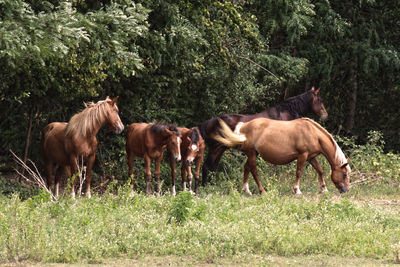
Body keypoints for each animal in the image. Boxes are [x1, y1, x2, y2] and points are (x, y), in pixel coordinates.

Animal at [200, 87, 328, 187]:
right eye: (319, 100)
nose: (325, 115)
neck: (284, 114)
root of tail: (209, 122)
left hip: (220, 149)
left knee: (212, 168)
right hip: (216, 149)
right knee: (206, 167)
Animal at [212, 118, 350, 196]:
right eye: (344, 174)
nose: (346, 190)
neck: (312, 133)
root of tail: (244, 125)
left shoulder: (311, 157)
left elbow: (320, 171)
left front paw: (323, 189)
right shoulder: (302, 155)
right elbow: (299, 172)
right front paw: (297, 190)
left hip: (253, 153)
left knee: (247, 168)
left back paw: (246, 190)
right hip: (251, 153)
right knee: (254, 170)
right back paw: (262, 191)